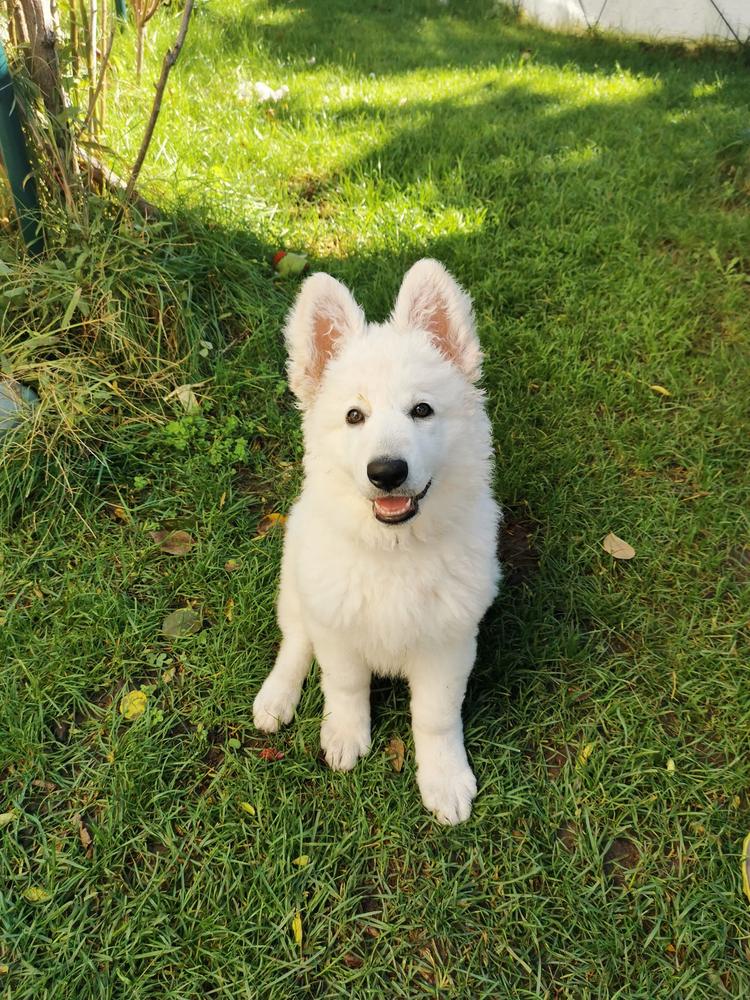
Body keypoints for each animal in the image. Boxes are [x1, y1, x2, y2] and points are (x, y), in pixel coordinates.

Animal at [256, 262, 502, 824]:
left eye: (422, 410)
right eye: (354, 416)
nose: (387, 472)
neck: (394, 551)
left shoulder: (449, 642)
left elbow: (435, 716)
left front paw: (444, 778)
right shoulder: (337, 630)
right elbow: (345, 686)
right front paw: (345, 735)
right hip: (297, 583)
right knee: (294, 642)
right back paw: (276, 697)